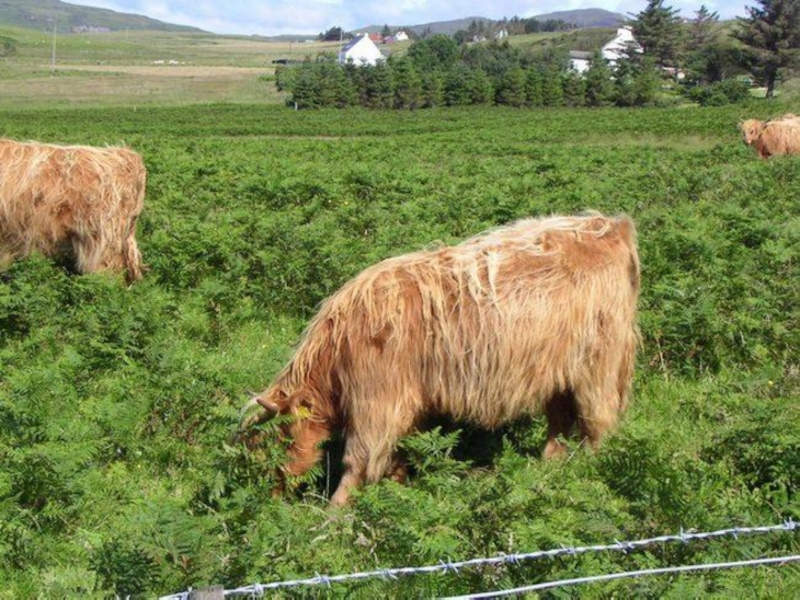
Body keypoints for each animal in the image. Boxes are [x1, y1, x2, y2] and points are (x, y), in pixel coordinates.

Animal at [241, 213, 640, 506]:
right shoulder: (408, 404)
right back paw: (548, 468)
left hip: (599, 366)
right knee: (559, 421)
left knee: (598, 422)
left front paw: (332, 518)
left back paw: (585, 476)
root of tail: (609, 224)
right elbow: (397, 452)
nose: (266, 495)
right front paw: (399, 488)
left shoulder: (378, 402)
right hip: (557, 371)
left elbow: (359, 460)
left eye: (275, 440)